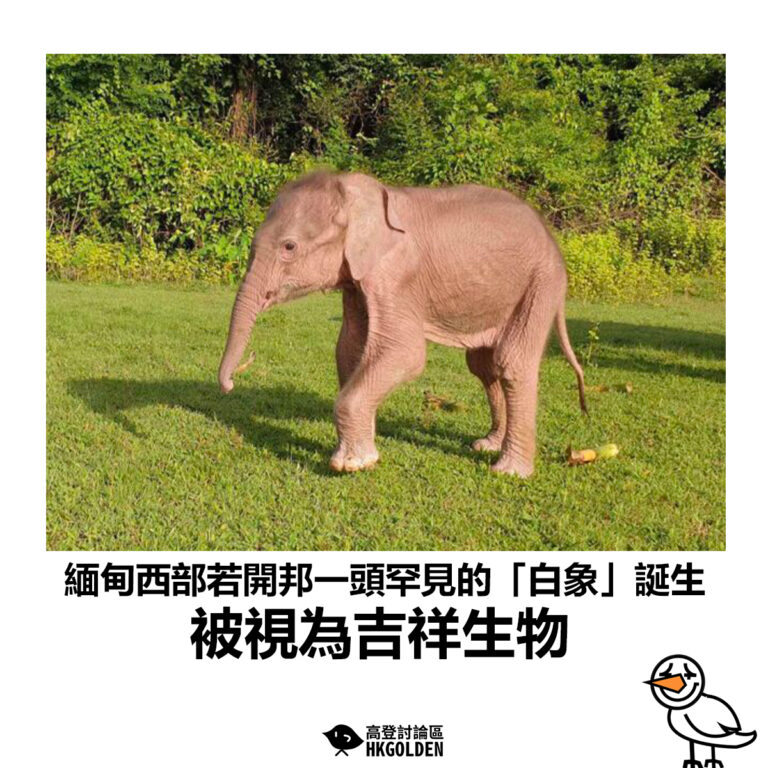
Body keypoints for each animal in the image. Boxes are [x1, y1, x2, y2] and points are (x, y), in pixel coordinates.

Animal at [218, 171, 586, 477]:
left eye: (289, 247)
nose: (230, 385)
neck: (355, 191)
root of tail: (552, 238)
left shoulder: (397, 275)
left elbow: (404, 353)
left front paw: (352, 464)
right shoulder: (358, 280)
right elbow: (349, 349)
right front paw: (361, 449)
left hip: (541, 283)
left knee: (512, 362)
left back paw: (508, 471)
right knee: (483, 364)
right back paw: (487, 445)